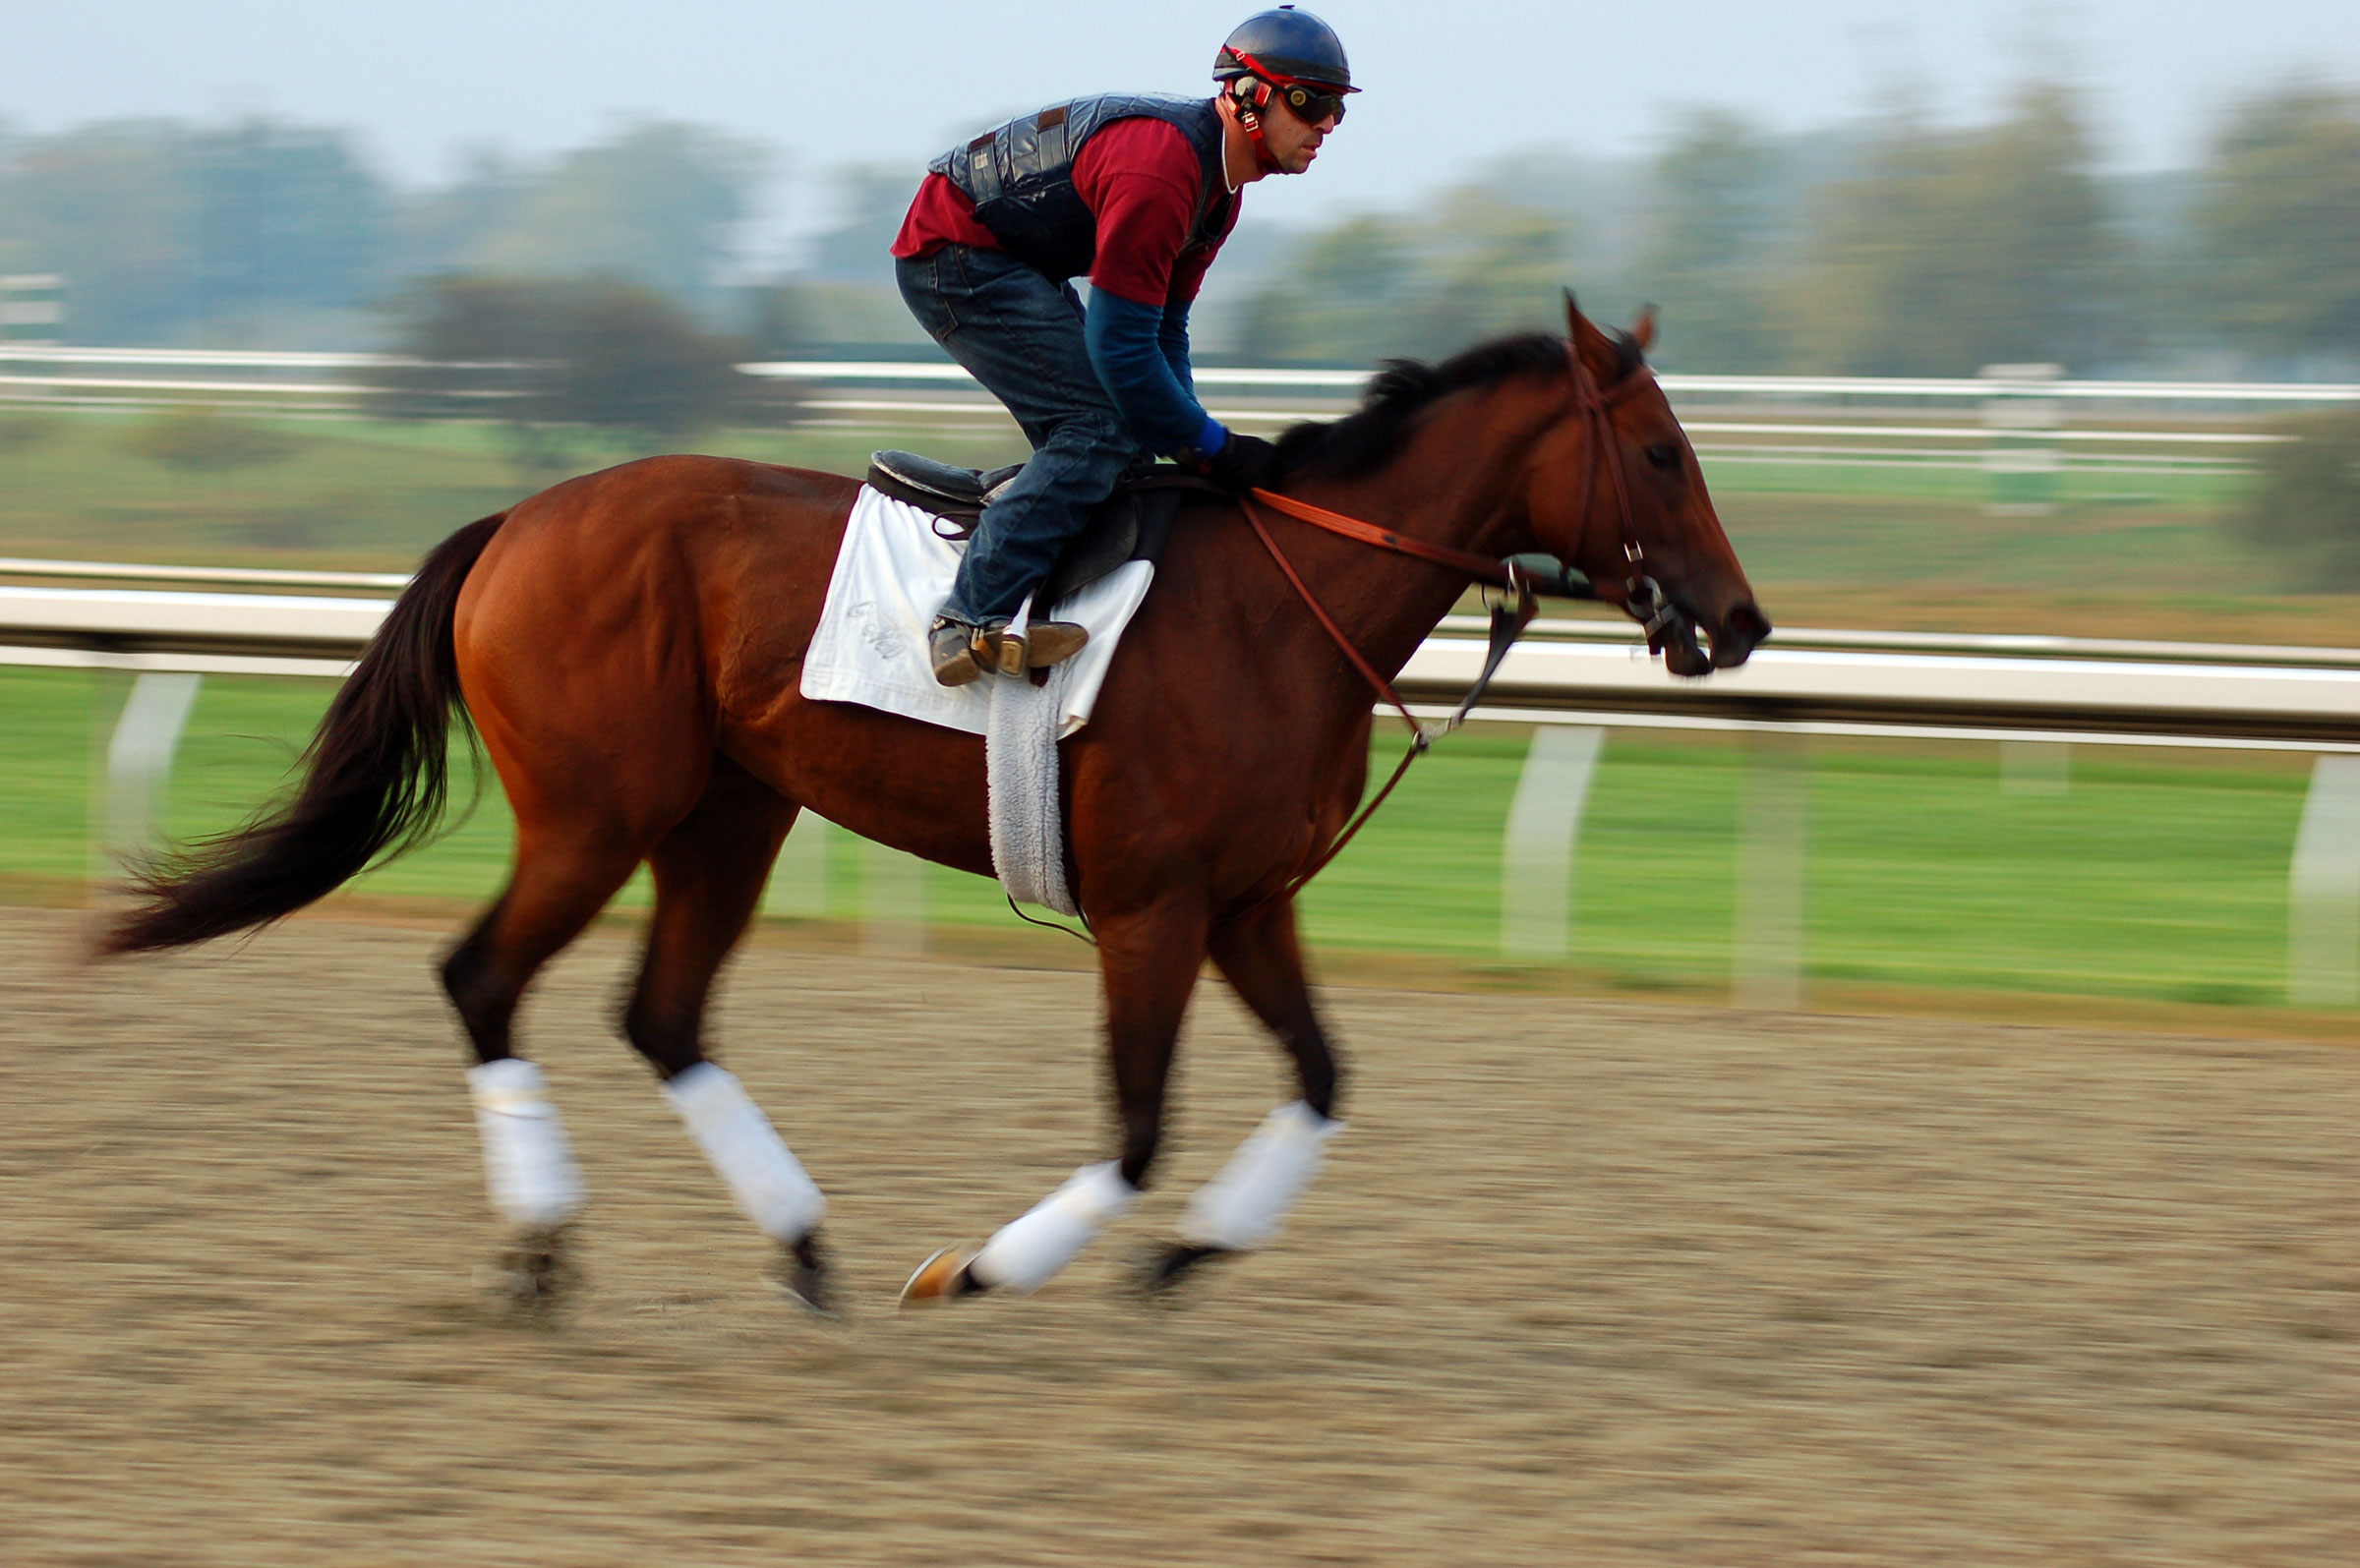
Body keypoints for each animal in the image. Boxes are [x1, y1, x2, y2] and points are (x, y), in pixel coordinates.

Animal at [106, 293, 1774, 1310]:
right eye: (1657, 449)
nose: (1742, 621)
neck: (1285, 607)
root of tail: (519, 516)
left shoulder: (1247, 900)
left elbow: (1320, 1075)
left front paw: (1190, 1255)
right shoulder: (1155, 907)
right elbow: (1136, 1126)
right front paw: (977, 1269)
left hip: (729, 814)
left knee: (662, 1012)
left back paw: (799, 1240)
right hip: (595, 810)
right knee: (483, 977)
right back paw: (541, 1241)